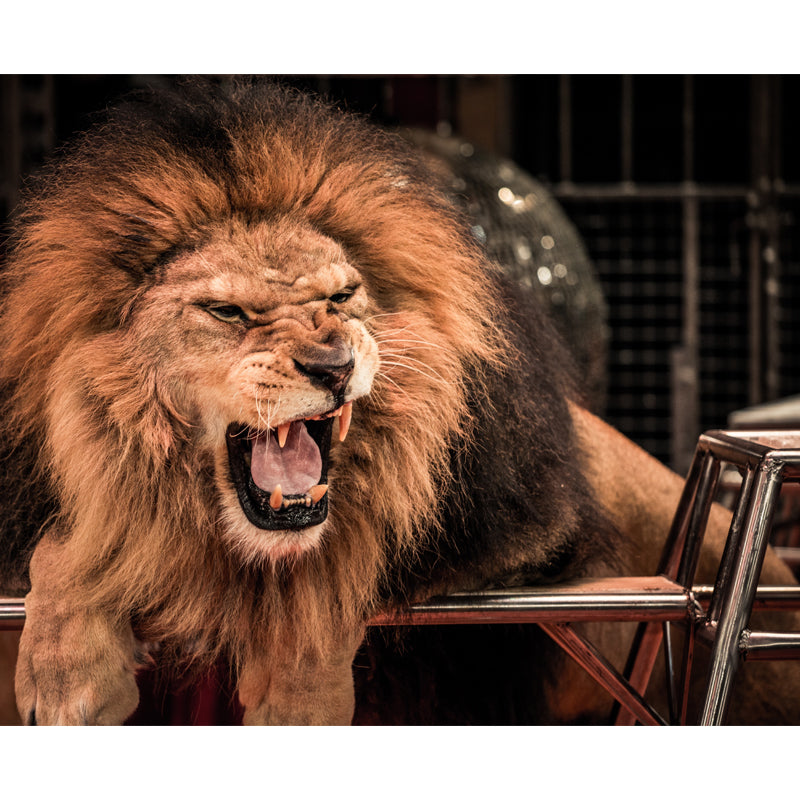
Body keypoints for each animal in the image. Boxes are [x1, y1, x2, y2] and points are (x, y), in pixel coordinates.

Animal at [1, 78, 799, 725]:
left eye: (341, 296)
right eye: (226, 312)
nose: (333, 365)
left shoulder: (530, 535)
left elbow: (354, 559)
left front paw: (299, 697)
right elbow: (67, 547)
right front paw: (67, 681)